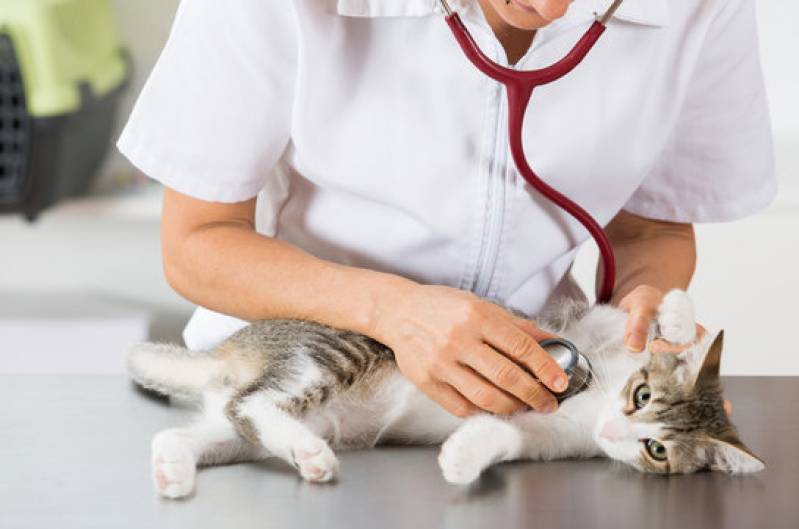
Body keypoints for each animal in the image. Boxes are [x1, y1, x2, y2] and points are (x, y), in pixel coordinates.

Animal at [128, 288, 764, 500]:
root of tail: (233, 348)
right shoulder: (582, 327)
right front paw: (676, 319)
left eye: (658, 450)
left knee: (208, 425)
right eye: (642, 395)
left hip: (243, 429)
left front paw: (461, 458)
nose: (616, 429)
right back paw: (310, 455)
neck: (592, 402)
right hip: (334, 353)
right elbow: (630, 312)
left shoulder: (546, 436)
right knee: (254, 403)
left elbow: (502, 432)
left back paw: (173, 469)